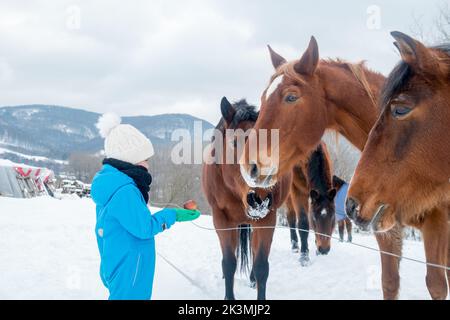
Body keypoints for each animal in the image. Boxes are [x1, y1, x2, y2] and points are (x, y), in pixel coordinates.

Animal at [201, 97, 292, 300]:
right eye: (235, 143)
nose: (260, 200)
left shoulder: (267, 219)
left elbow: (261, 266)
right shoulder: (221, 218)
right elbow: (229, 263)